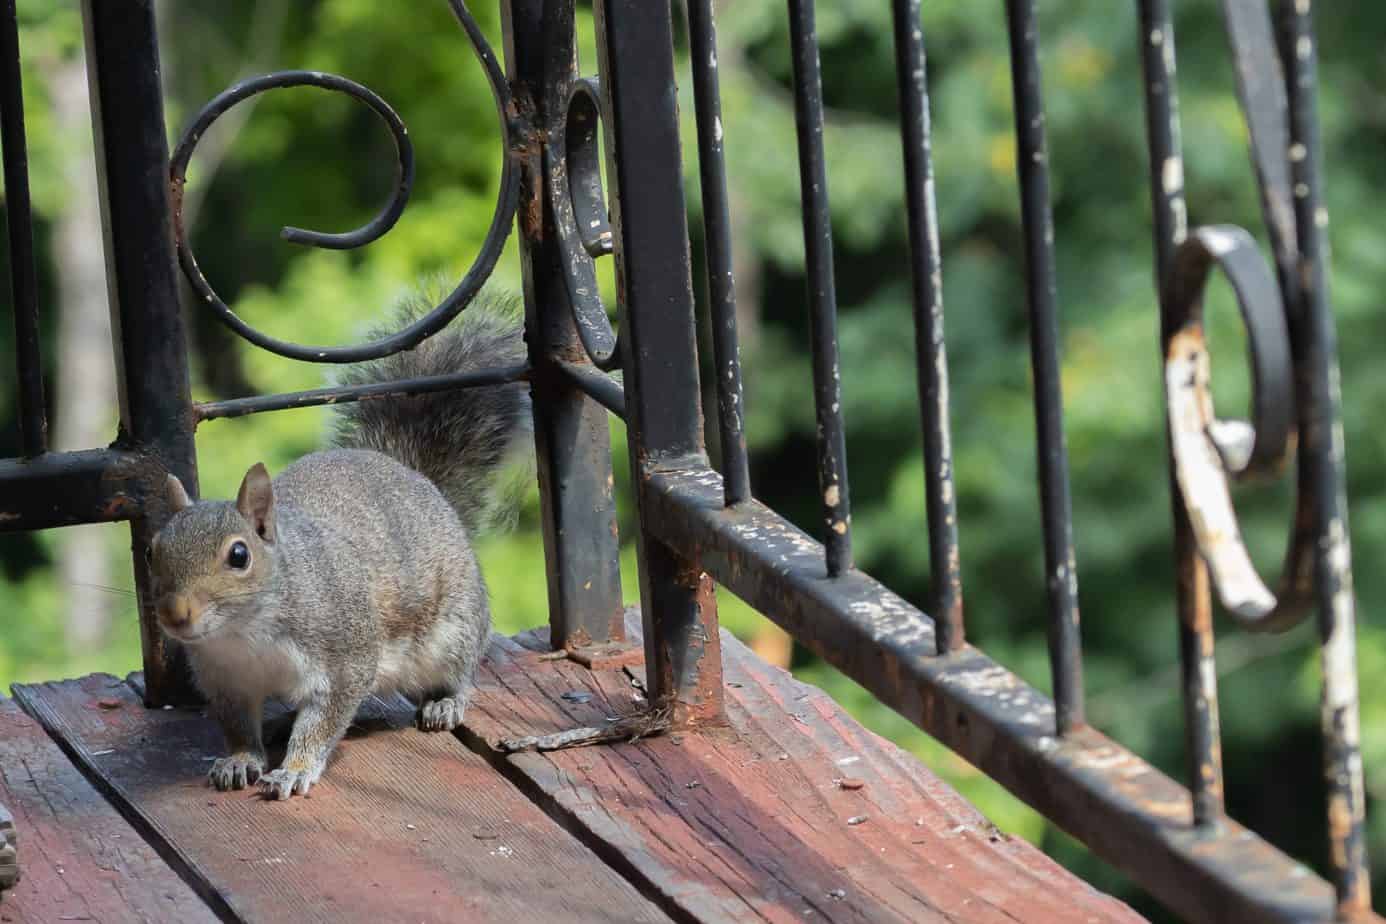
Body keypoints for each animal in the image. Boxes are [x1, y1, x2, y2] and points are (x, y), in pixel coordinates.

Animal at [144, 292, 523, 797]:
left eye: (239, 555)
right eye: (152, 550)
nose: (174, 614)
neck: (244, 634)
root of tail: (424, 485)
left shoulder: (345, 656)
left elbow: (324, 721)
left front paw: (297, 768)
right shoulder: (224, 680)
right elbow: (237, 726)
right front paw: (240, 760)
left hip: (453, 630)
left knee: (461, 671)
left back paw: (446, 703)